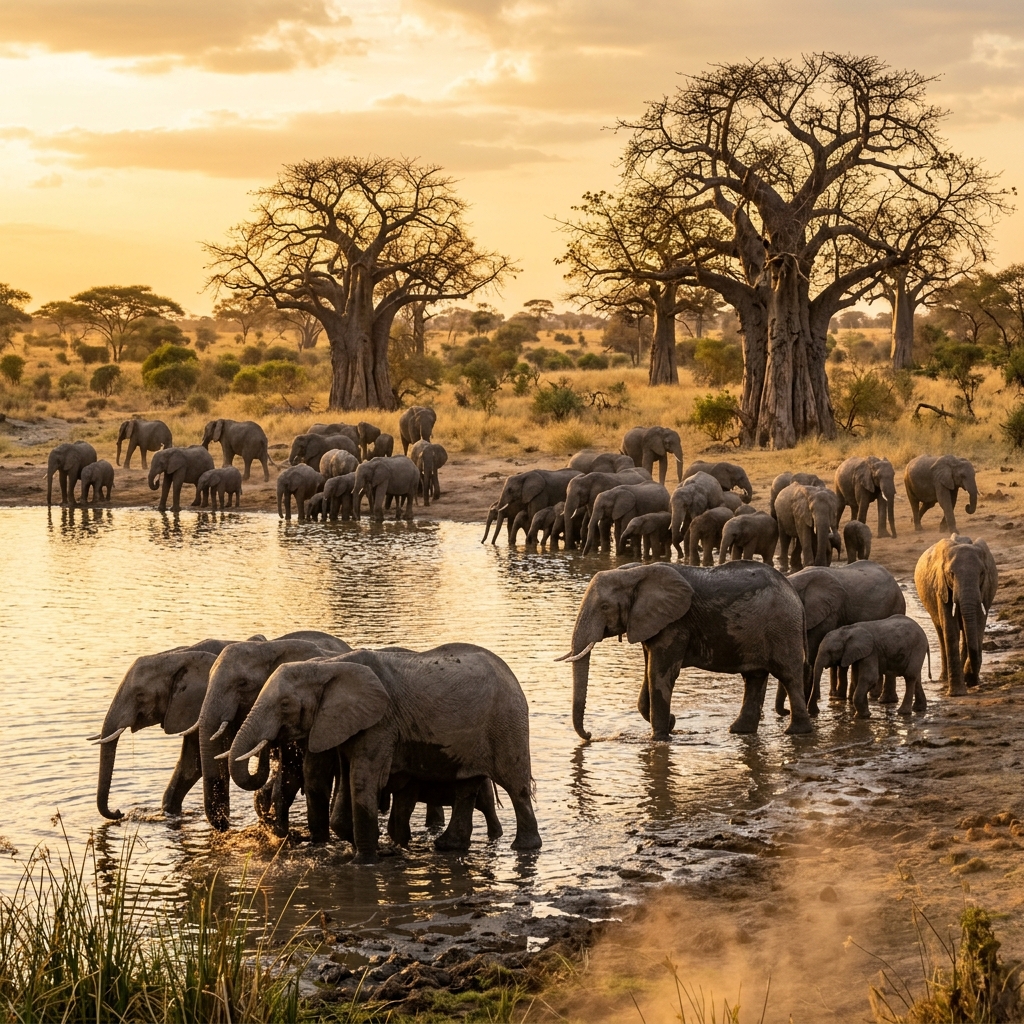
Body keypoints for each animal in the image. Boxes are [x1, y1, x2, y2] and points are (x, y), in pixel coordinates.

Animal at [226, 644, 541, 861]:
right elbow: (346, 780)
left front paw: (364, 861)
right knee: (467, 785)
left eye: (284, 705)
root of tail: (511, 674)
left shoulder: (380, 722)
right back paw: (448, 846)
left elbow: (363, 780)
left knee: (516, 787)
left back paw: (524, 847)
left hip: (507, 722)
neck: (327, 666)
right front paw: (366, 846)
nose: (272, 747)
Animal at [558, 561, 812, 740]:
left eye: (604, 607)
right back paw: (739, 731)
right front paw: (670, 724)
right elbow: (649, 674)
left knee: (788, 675)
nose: (590, 735)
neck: (636, 572)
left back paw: (796, 732)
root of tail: (794, 595)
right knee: (754, 677)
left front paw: (660, 737)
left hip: (782, 627)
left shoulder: (675, 624)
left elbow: (659, 674)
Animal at [915, 535, 997, 695]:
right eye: (951, 574)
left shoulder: (985, 590)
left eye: (982, 574)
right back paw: (944, 678)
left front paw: (969, 679)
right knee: (941, 632)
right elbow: (950, 629)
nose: (972, 680)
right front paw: (957, 693)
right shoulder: (941, 587)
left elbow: (978, 624)